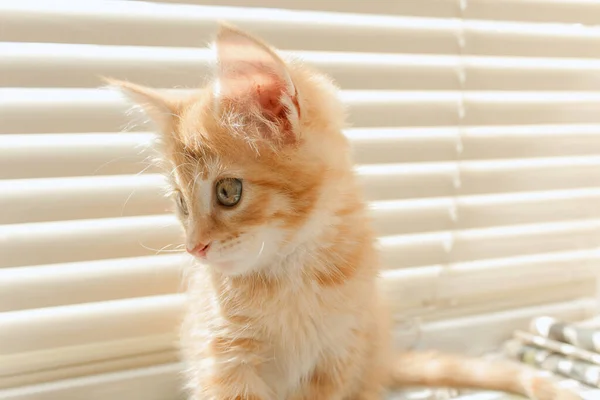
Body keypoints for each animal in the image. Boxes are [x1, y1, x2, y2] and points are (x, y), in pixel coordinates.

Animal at [110, 22, 580, 400]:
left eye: (228, 191)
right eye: (180, 203)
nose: (195, 248)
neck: (289, 274)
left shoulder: (336, 356)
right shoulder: (223, 360)